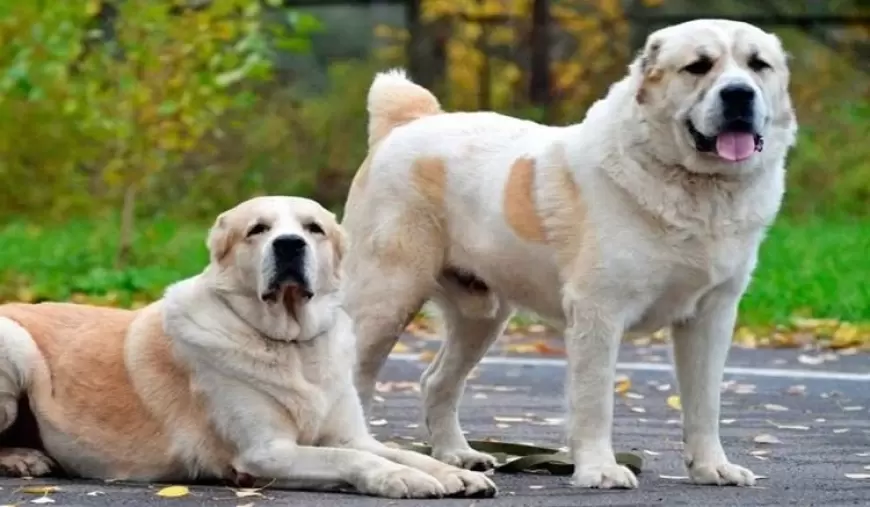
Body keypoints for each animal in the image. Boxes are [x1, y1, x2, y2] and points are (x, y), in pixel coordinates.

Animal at [0, 195, 498, 500]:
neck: (291, 344)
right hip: (15, 343)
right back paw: (23, 458)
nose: (289, 244)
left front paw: (455, 473)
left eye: (314, 229)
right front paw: (400, 478)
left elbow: (394, 449)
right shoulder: (266, 452)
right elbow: (350, 458)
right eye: (257, 229)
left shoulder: (350, 433)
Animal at [338, 17, 796, 490]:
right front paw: (599, 469)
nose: (739, 93)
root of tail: (408, 123)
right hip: (386, 300)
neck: (698, 190)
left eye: (758, 65)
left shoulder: (711, 316)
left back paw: (459, 455)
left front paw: (711, 467)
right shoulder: (599, 311)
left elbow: (705, 402)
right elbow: (595, 400)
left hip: (481, 318)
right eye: (698, 66)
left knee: (436, 382)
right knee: (357, 380)